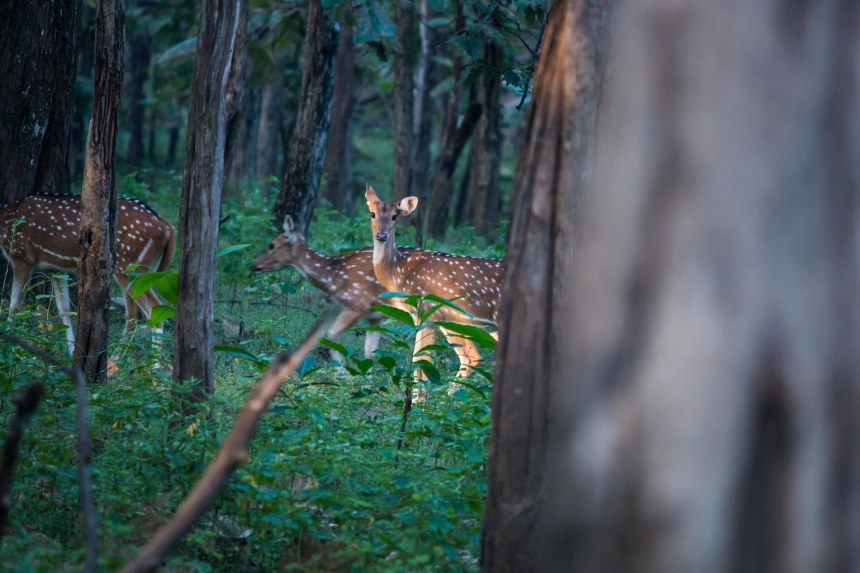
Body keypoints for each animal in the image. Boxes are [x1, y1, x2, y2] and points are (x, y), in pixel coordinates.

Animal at [0, 193, 175, 353]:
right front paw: (72, 352)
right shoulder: (55, 268)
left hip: (129, 265)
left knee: (151, 308)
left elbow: (14, 304)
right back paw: (115, 360)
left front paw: (8, 344)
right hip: (141, 270)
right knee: (134, 314)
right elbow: (64, 308)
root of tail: (167, 228)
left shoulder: (21, 256)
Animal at [250, 215, 479, 367]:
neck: (334, 276)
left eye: (271, 245)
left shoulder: (357, 303)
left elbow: (331, 335)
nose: (254, 266)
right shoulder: (374, 316)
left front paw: (343, 375)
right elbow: (370, 353)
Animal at [364, 184, 503, 379]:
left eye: (394, 216)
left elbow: (421, 361)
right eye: (372, 213)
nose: (381, 235)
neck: (398, 272)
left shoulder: (426, 309)